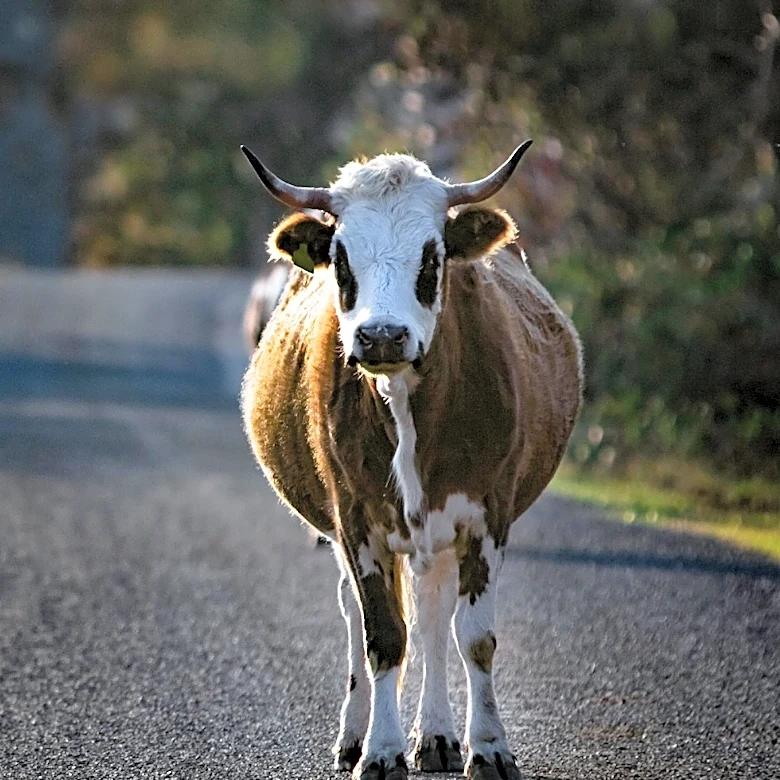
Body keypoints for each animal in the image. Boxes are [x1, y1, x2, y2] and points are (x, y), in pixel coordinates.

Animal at [239, 141, 583, 780]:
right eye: (341, 258)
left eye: (433, 255)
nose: (381, 336)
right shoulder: (355, 521)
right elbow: (382, 636)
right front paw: (380, 750)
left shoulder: (486, 515)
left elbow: (472, 637)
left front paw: (488, 747)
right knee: (362, 619)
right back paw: (357, 736)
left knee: (432, 617)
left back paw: (439, 736)